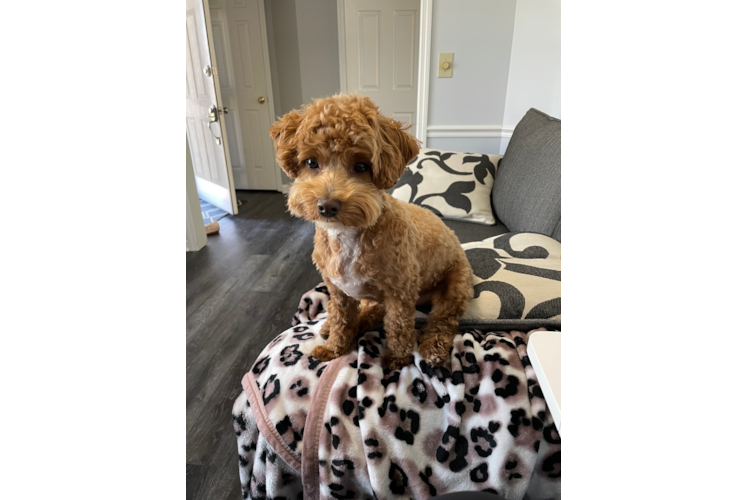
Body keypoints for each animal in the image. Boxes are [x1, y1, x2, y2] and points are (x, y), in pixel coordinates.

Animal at [268, 94, 474, 370]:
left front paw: (397, 359)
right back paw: (338, 324)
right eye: (311, 162)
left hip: (455, 288)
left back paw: (433, 349)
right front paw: (334, 348)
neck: (347, 236)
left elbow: (398, 327)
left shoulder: (400, 294)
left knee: (442, 321)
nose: (327, 206)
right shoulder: (339, 292)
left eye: (361, 165)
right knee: (369, 310)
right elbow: (342, 320)